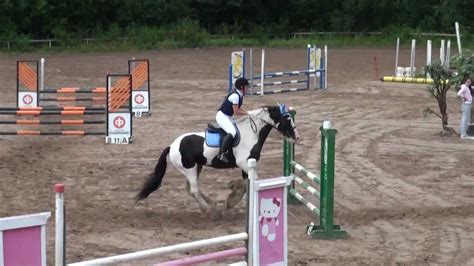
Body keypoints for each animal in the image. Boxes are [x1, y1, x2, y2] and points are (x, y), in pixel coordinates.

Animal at [135, 105, 298, 217]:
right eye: (287, 119)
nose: (296, 137)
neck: (252, 133)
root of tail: (171, 146)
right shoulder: (244, 163)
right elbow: (251, 183)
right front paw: (232, 199)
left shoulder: (246, 166)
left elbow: (247, 184)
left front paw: (232, 198)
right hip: (190, 168)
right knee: (194, 190)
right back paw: (209, 211)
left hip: (196, 168)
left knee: (190, 188)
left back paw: (212, 205)